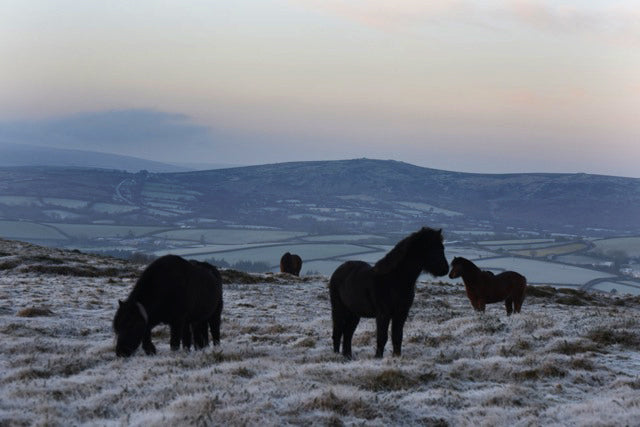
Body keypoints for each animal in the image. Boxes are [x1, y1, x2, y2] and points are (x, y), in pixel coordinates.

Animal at [330, 226, 450, 360]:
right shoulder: (383, 314)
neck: (394, 280)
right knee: (338, 332)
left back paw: (348, 356)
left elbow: (397, 337)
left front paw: (397, 356)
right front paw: (378, 357)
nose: (445, 269)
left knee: (348, 333)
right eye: (433, 248)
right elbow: (382, 337)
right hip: (339, 309)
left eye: (442, 247)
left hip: (354, 313)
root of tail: (338, 270)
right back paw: (336, 355)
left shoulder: (401, 313)